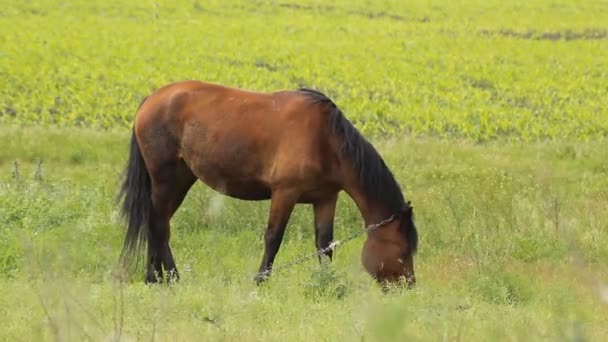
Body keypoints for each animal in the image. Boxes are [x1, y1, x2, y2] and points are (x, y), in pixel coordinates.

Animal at [116, 80, 418, 288]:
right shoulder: (285, 193)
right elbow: (273, 237)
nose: (408, 288)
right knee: (157, 224)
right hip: (165, 179)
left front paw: (326, 280)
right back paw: (163, 277)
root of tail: (151, 99)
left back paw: (160, 277)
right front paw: (261, 280)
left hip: (181, 179)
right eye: (404, 251)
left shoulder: (325, 198)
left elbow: (324, 243)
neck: (326, 140)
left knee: (159, 224)